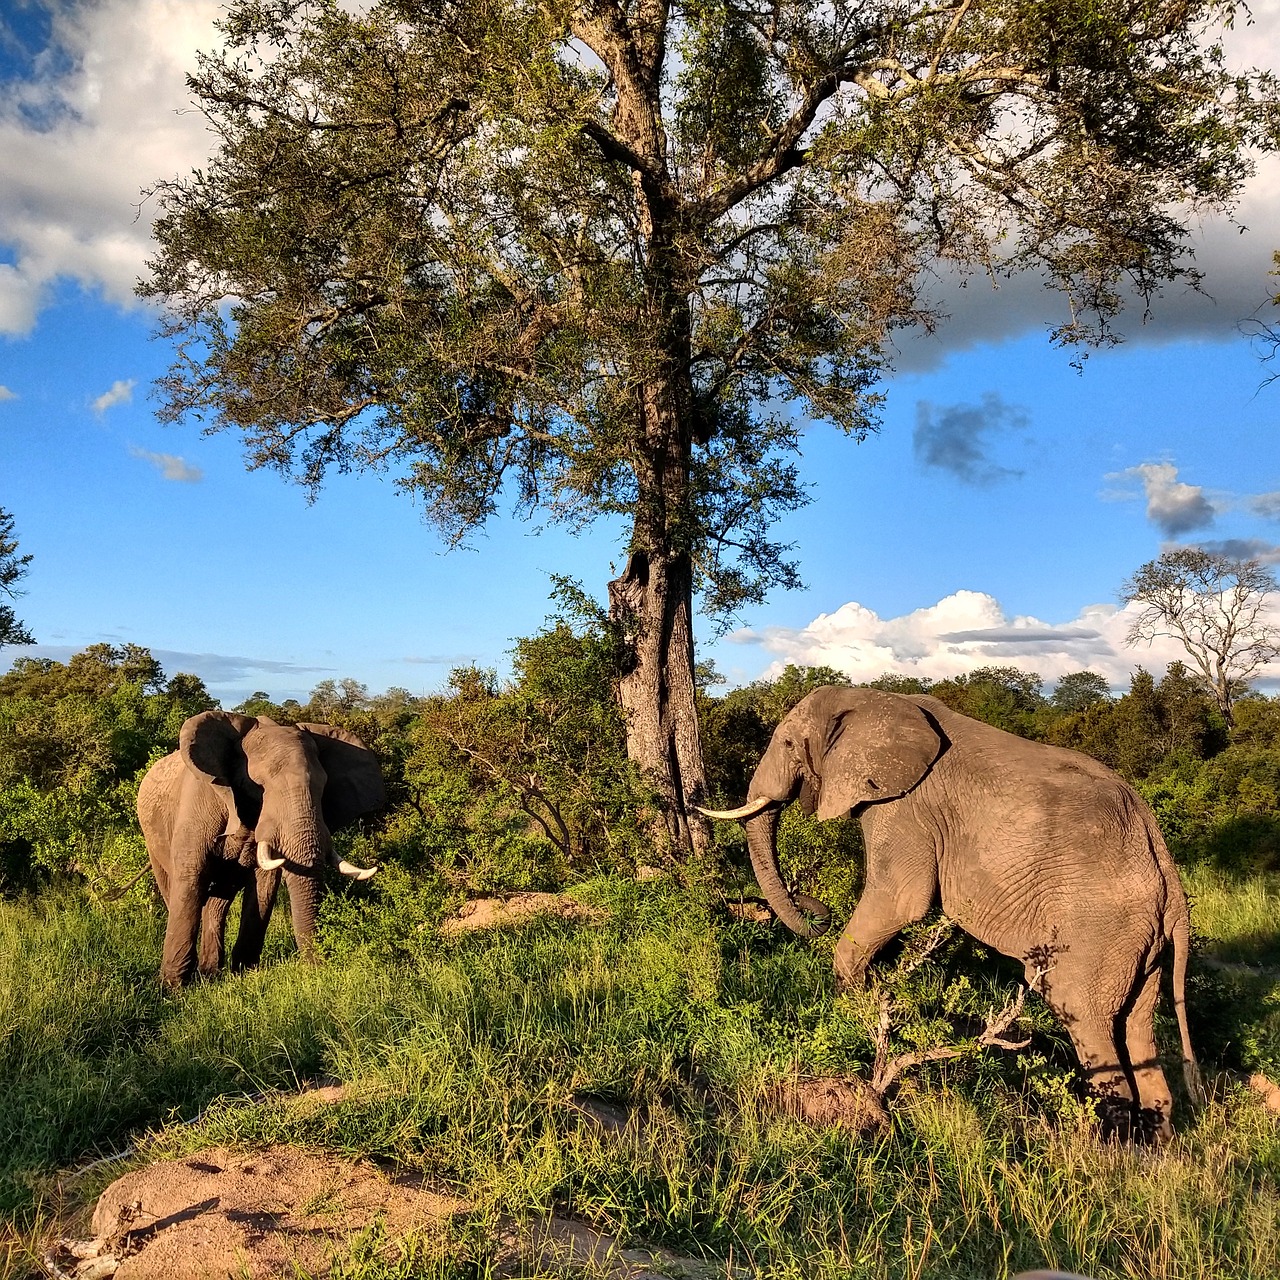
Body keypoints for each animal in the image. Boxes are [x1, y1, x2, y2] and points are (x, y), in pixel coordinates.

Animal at [136, 711, 384, 988]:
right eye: (260, 786)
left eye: (323, 788)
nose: (318, 971)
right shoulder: (196, 804)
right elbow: (191, 876)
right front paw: (172, 989)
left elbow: (264, 885)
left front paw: (244, 975)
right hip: (151, 834)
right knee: (174, 889)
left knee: (219, 900)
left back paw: (211, 973)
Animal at [701, 691, 1198, 1141]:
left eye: (788, 743)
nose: (813, 910)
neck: (870, 696)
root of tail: (1171, 881)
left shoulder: (904, 808)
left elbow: (900, 898)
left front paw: (855, 1012)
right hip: (1139, 944)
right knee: (1138, 1028)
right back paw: (1157, 1150)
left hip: (1099, 931)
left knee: (1083, 1015)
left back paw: (1108, 1150)